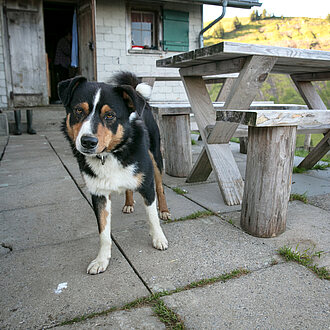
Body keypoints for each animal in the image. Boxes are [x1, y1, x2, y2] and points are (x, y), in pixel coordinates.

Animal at [57, 73, 169, 276]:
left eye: (109, 116)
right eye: (78, 110)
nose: (88, 141)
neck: (110, 154)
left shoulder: (147, 184)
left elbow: (152, 216)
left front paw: (158, 238)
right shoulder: (98, 194)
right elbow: (103, 232)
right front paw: (101, 260)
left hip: (156, 157)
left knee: (160, 187)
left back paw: (164, 210)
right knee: (128, 189)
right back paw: (128, 203)